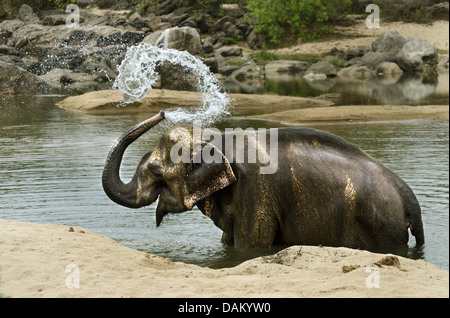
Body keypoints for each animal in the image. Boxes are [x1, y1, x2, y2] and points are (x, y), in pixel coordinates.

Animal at [103, 112, 426, 251]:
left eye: (155, 170)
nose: (162, 111)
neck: (218, 139)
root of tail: (408, 197)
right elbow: (228, 240)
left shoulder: (255, 191)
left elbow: (251, 247)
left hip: (380, 225)